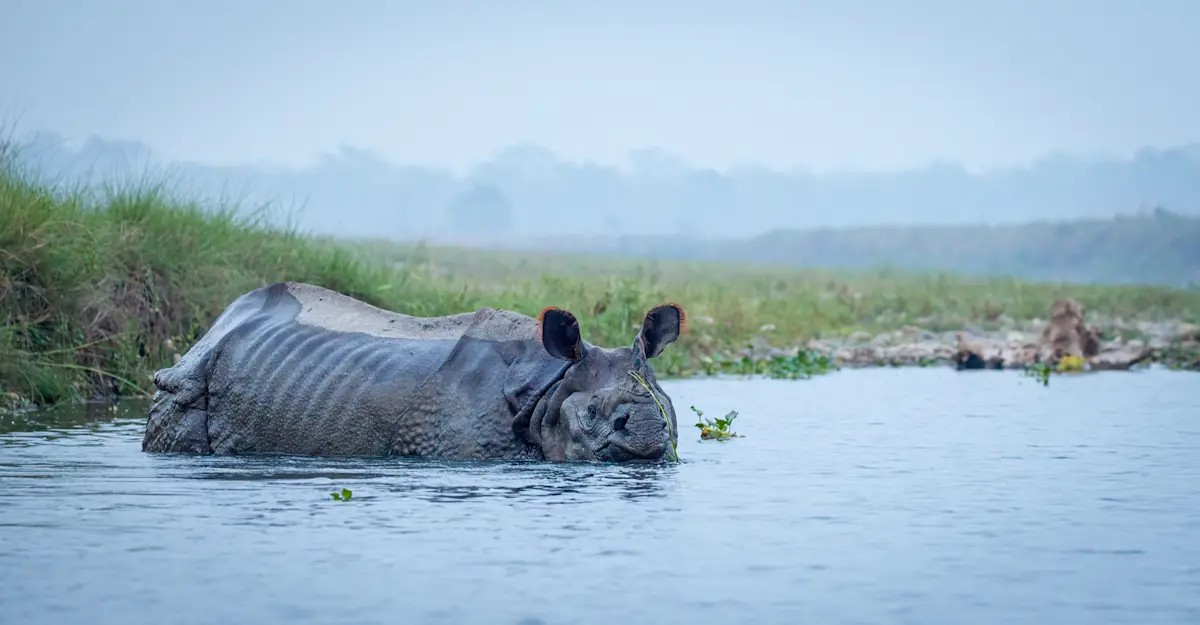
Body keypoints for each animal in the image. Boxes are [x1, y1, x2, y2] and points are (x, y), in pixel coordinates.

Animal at [142, 282, 685, 463]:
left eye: (667, 409)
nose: (646, 432)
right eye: (592, 412)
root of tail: (210, 331)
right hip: (186, 384)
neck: (549, 389)